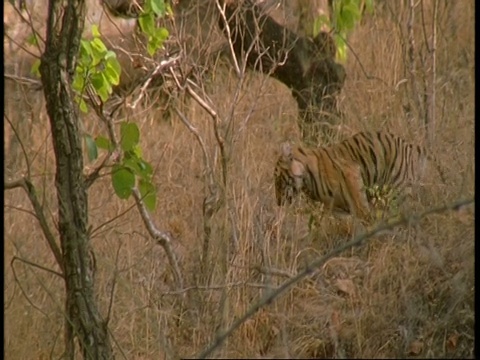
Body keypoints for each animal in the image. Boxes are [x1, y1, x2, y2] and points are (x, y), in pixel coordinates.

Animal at [274, 129, 446, 219]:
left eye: (278, 179)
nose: (278, 203)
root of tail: (408, 144)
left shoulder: (352, 176)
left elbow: (364, 215)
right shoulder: (337, 209)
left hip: (397, 190)